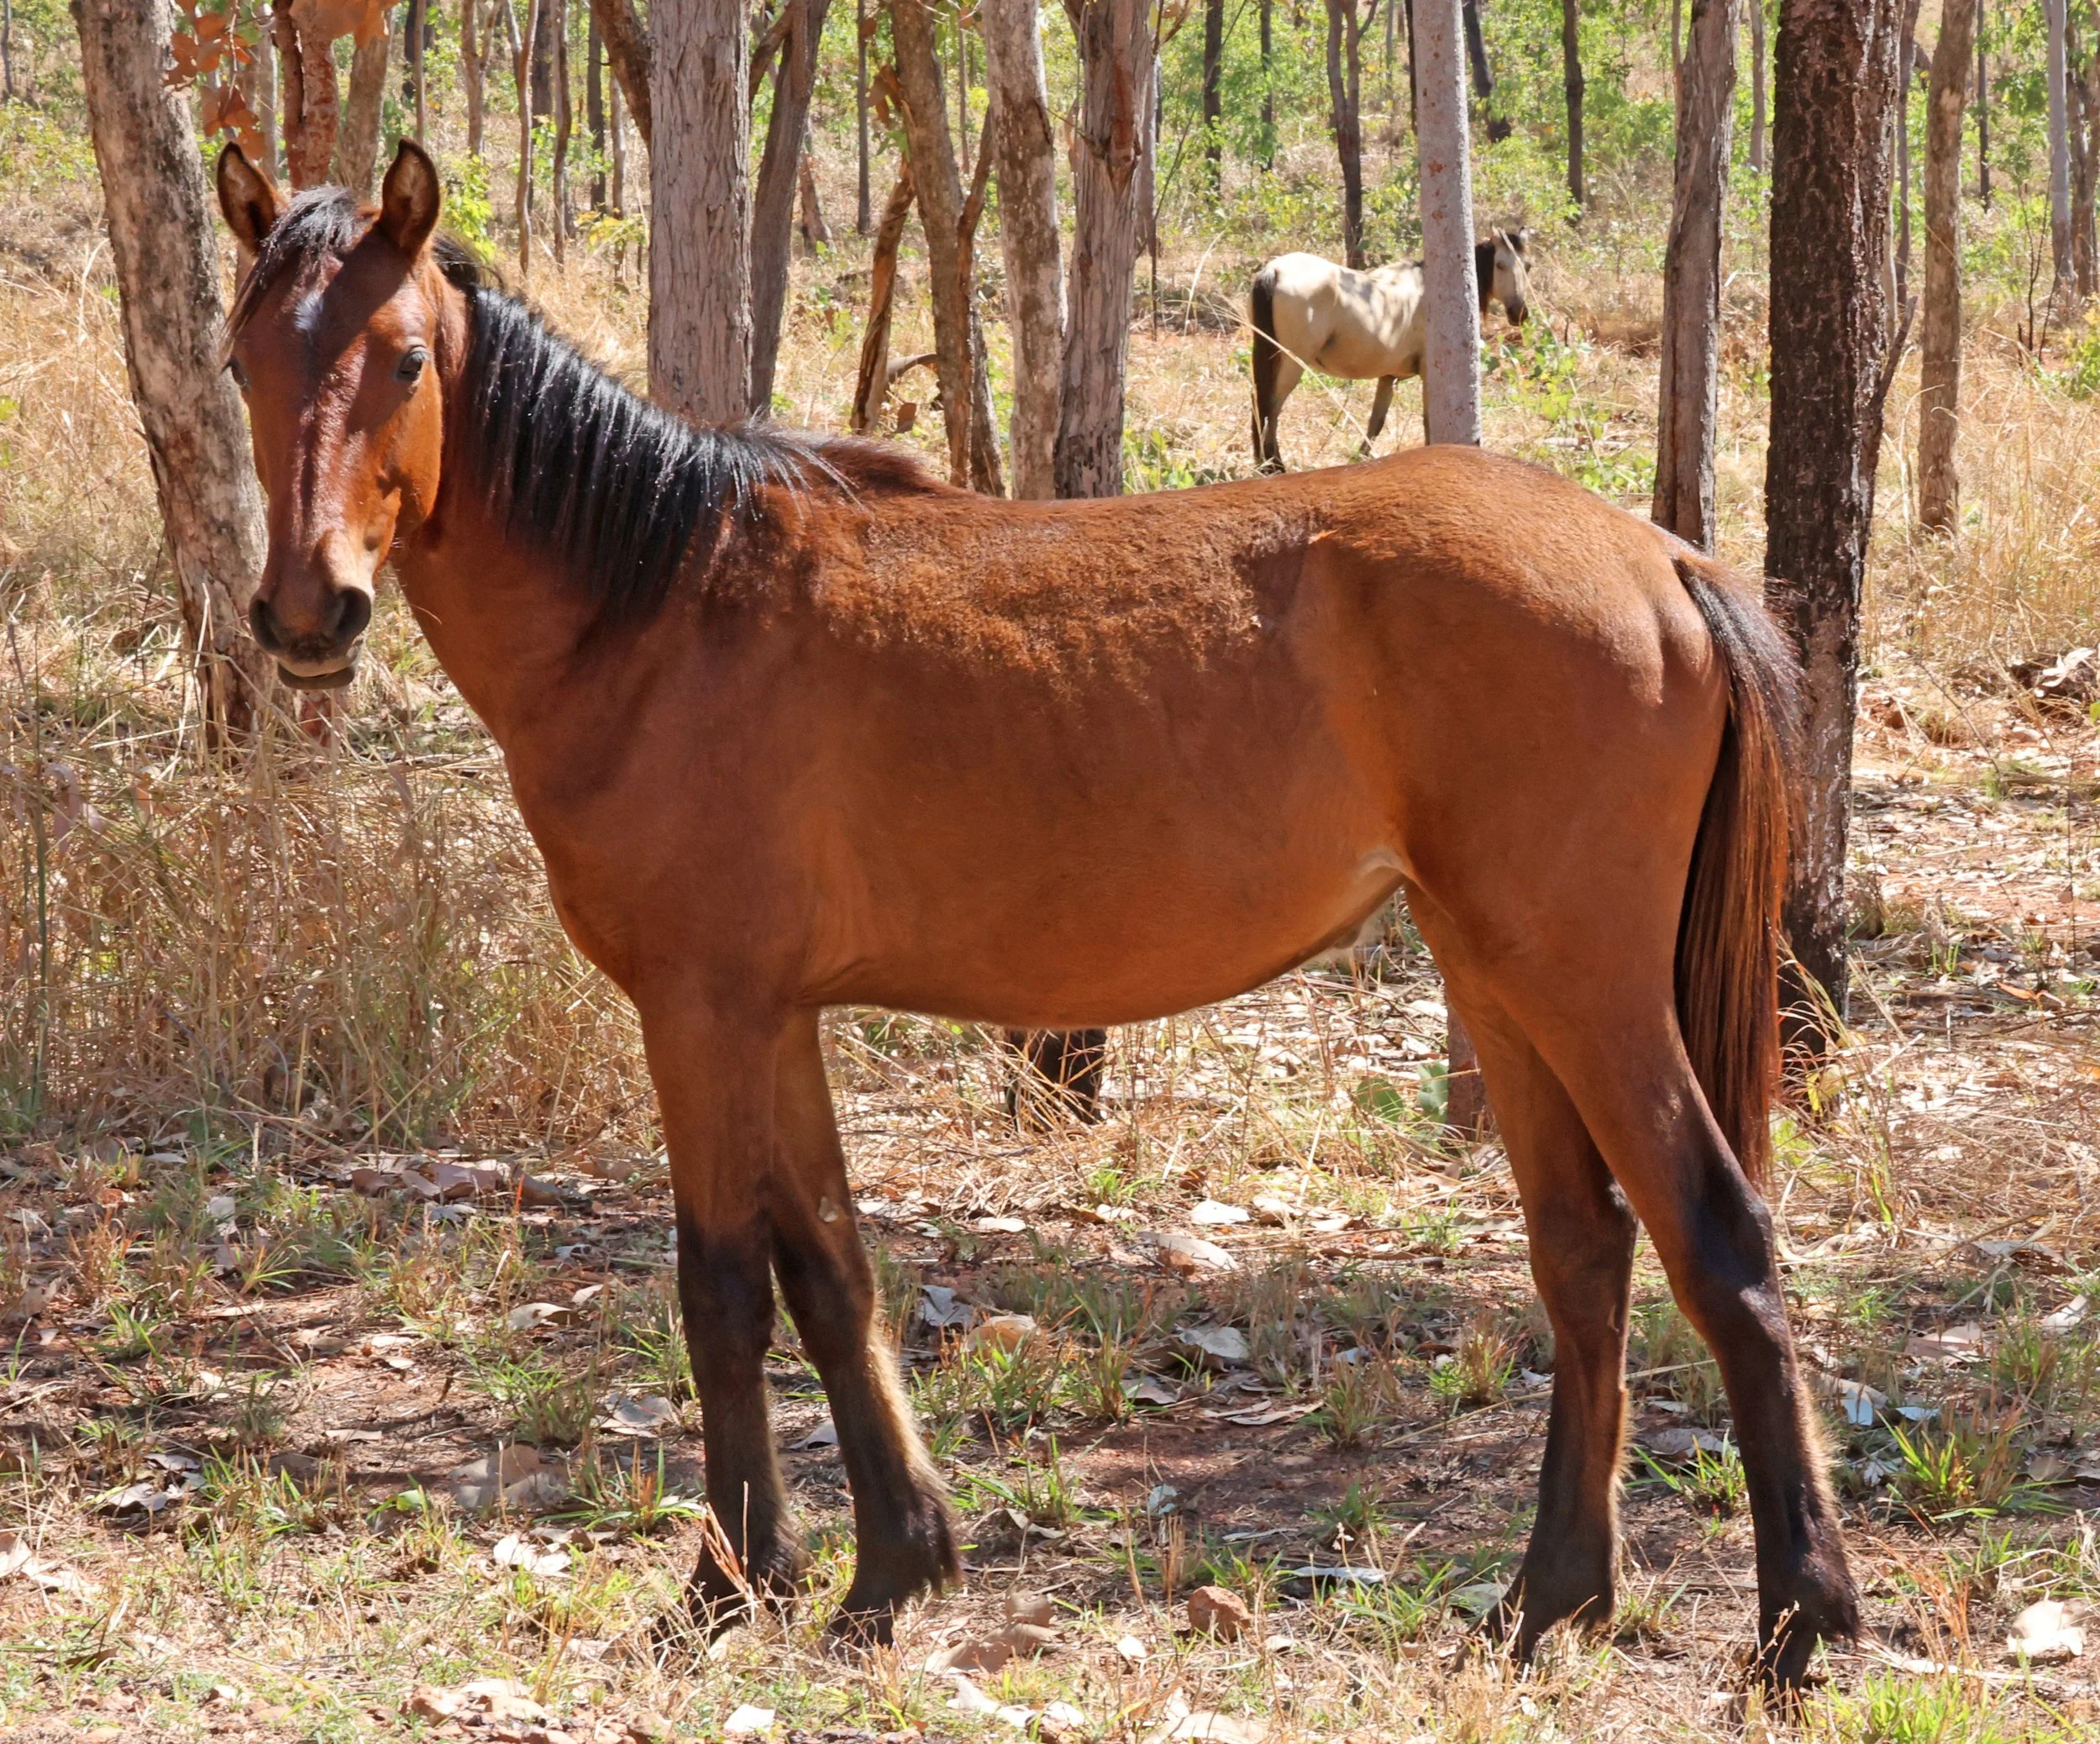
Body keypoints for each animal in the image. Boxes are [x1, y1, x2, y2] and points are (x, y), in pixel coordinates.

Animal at [1251, 229, 1532, 472]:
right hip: (1290, 364)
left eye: (1527, 265)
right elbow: (1427, 421)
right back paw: (1274, 466)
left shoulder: (1388, 377)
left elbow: (1375, 423)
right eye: (1500, 265)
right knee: (1270, 409)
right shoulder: (1428, 374)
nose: (1519, 313)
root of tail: (1274, 271)